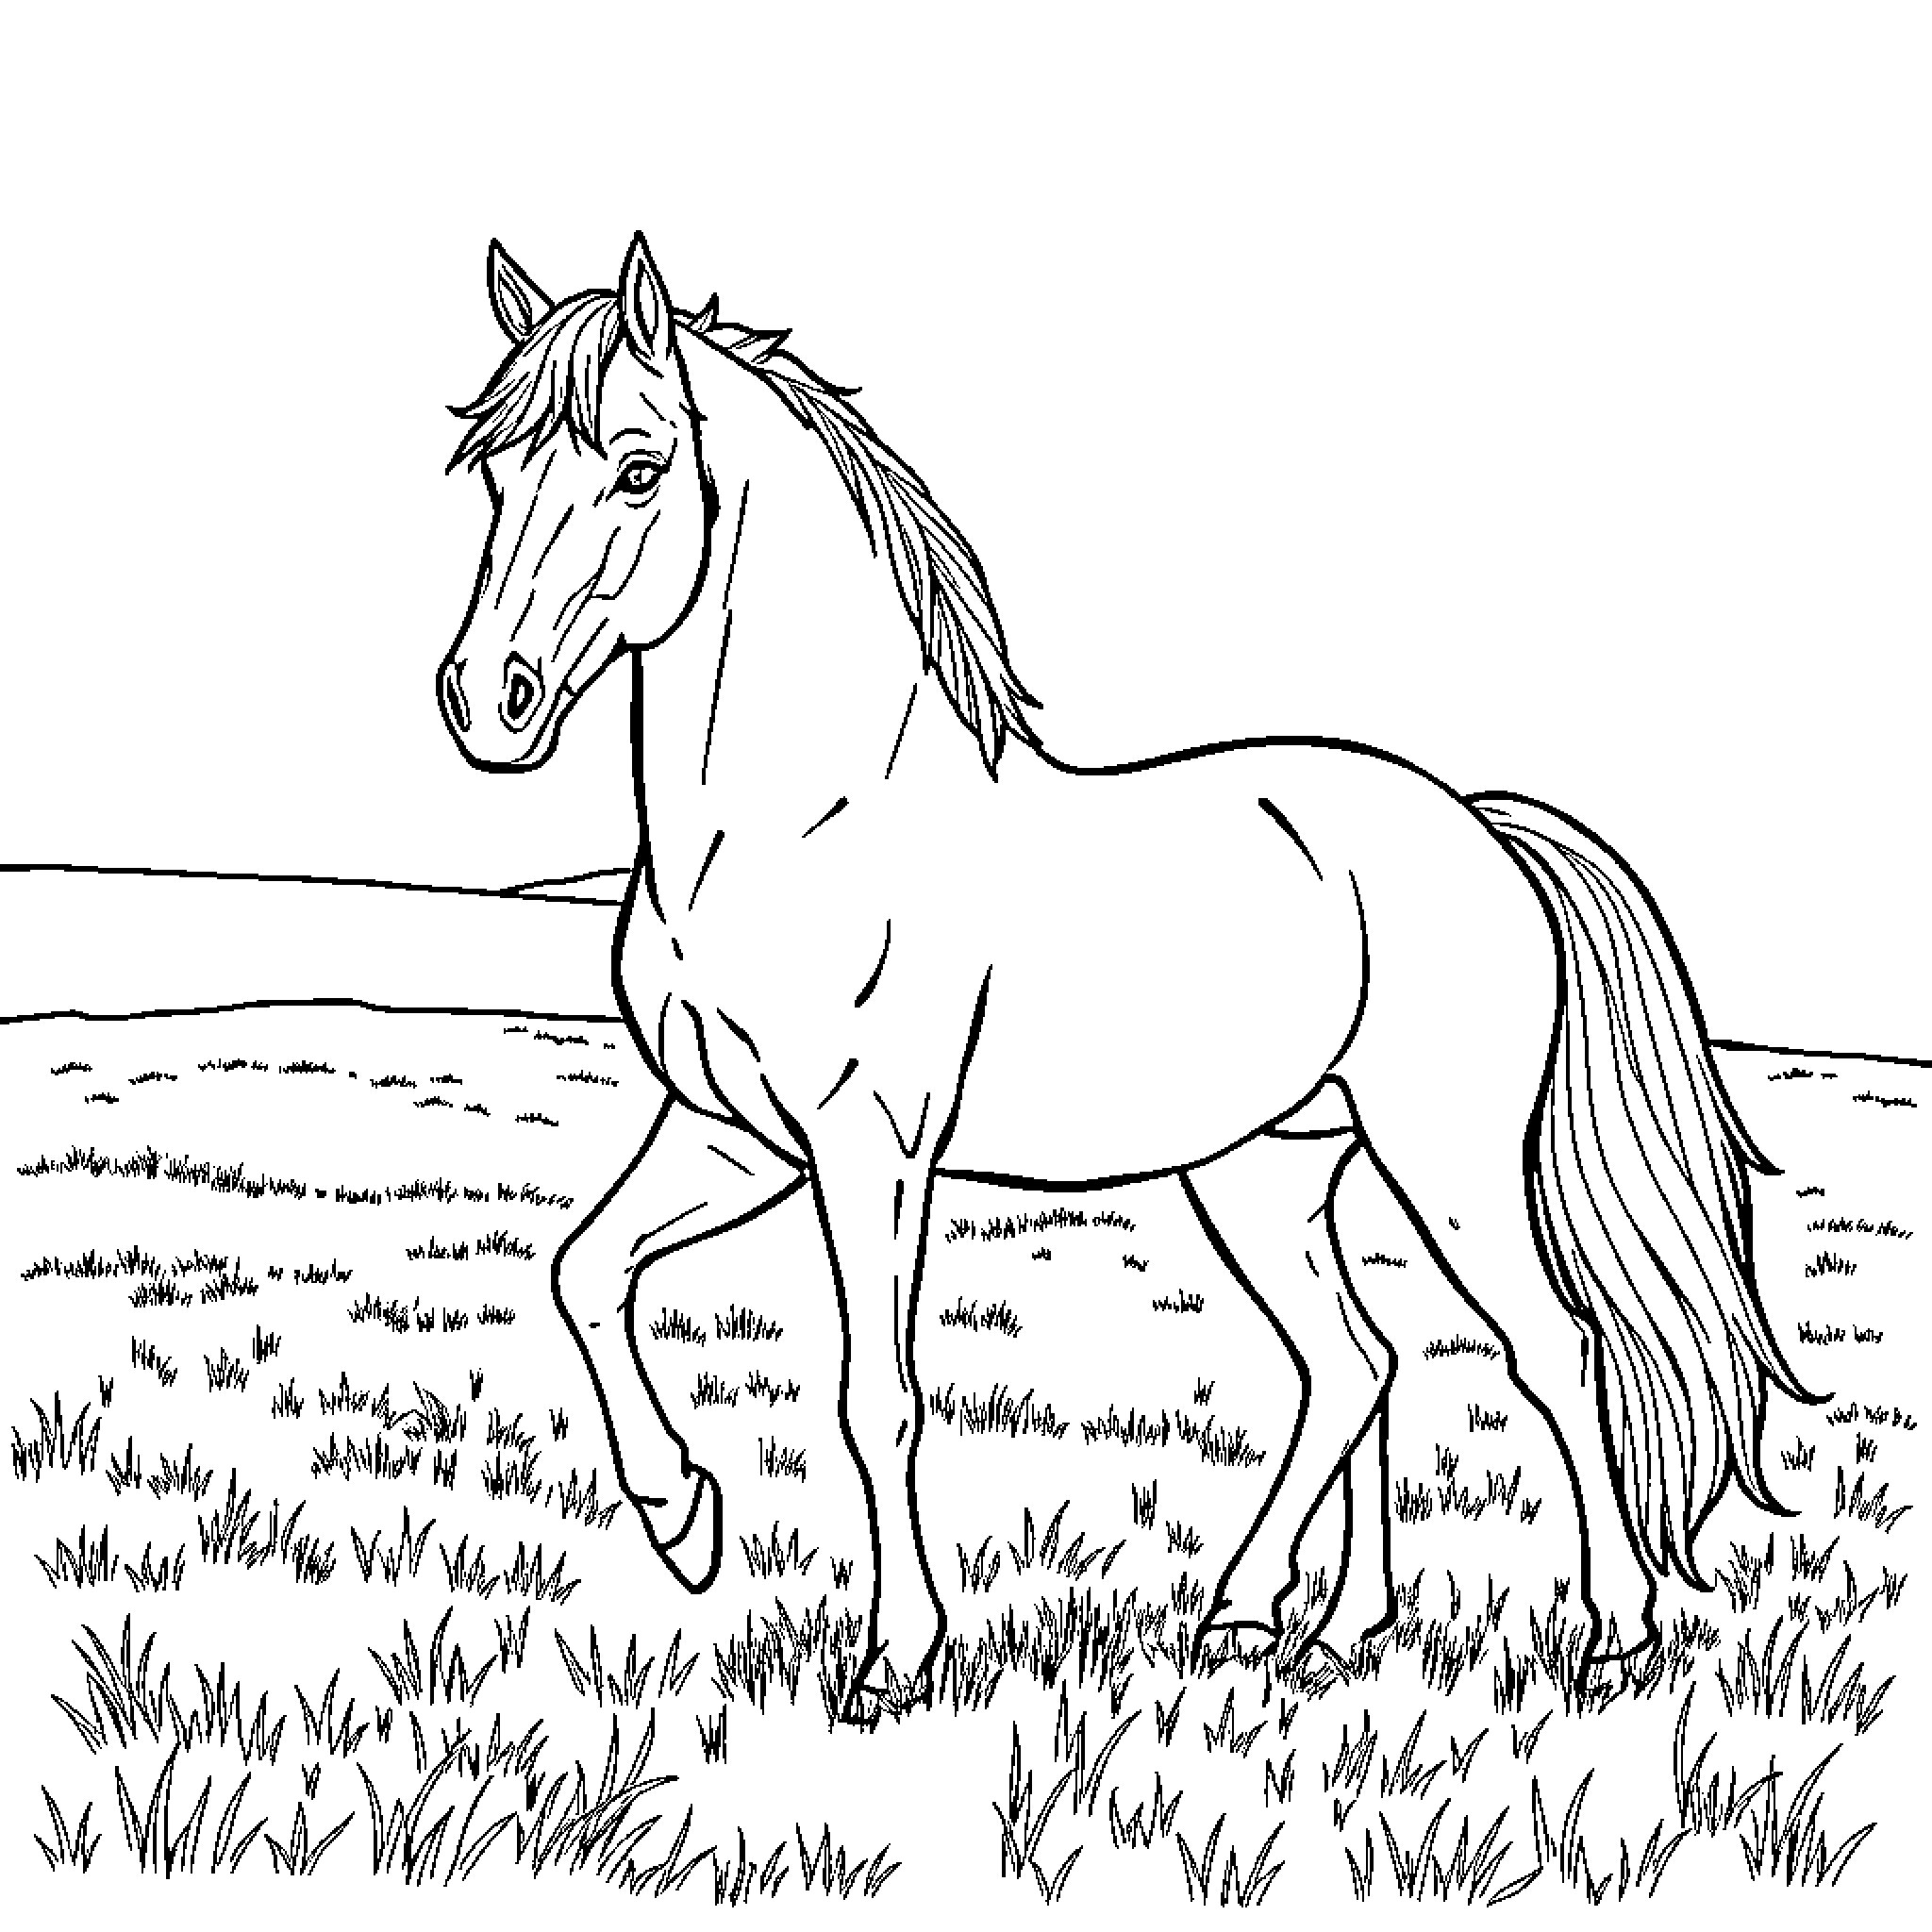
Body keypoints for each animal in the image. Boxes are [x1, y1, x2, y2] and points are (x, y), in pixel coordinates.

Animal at [433, 229, 1811, 1711]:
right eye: (500, 471)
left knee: (1549, 1348)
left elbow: (877, 1394)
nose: (486, 702)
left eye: (638, 468)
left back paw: (1608, 1633)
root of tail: (1477, 827)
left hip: (1443, 1158)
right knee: (1356, 1361)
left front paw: (894, 1659)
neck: (802, 825)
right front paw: (686, 1520)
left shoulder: (869, 1148)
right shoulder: (732, 1131)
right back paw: (1295, 1623)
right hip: (1267, 1172)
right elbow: (582, 1271)